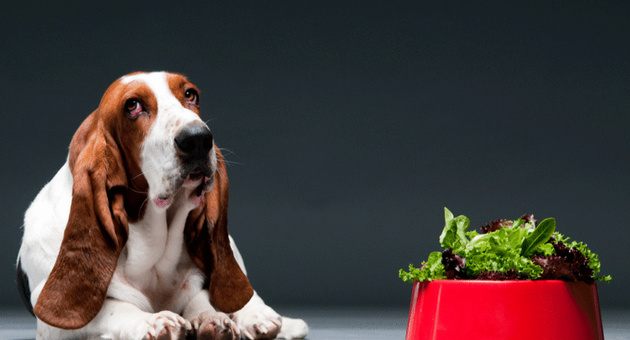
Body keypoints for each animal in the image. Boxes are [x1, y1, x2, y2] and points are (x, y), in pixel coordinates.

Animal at [16, 71, 308, 340]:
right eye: (132, 106)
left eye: (191, 95)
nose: (198, 138)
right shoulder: (51, 324)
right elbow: (111, 309)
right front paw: (152, 323)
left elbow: (201, 297)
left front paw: (211, 319)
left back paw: (258, 316)